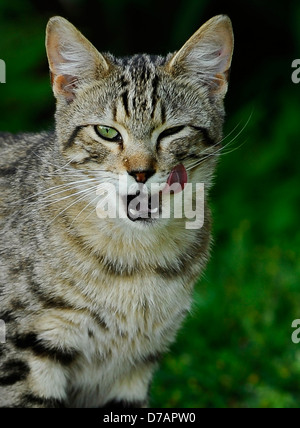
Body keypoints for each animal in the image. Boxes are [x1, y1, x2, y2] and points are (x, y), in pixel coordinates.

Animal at [0, 14, 234, 408]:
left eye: (172, 131)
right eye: (107, 132)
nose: (140, 172)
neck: (135, 261)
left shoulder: (134, 367)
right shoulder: (25, 351)